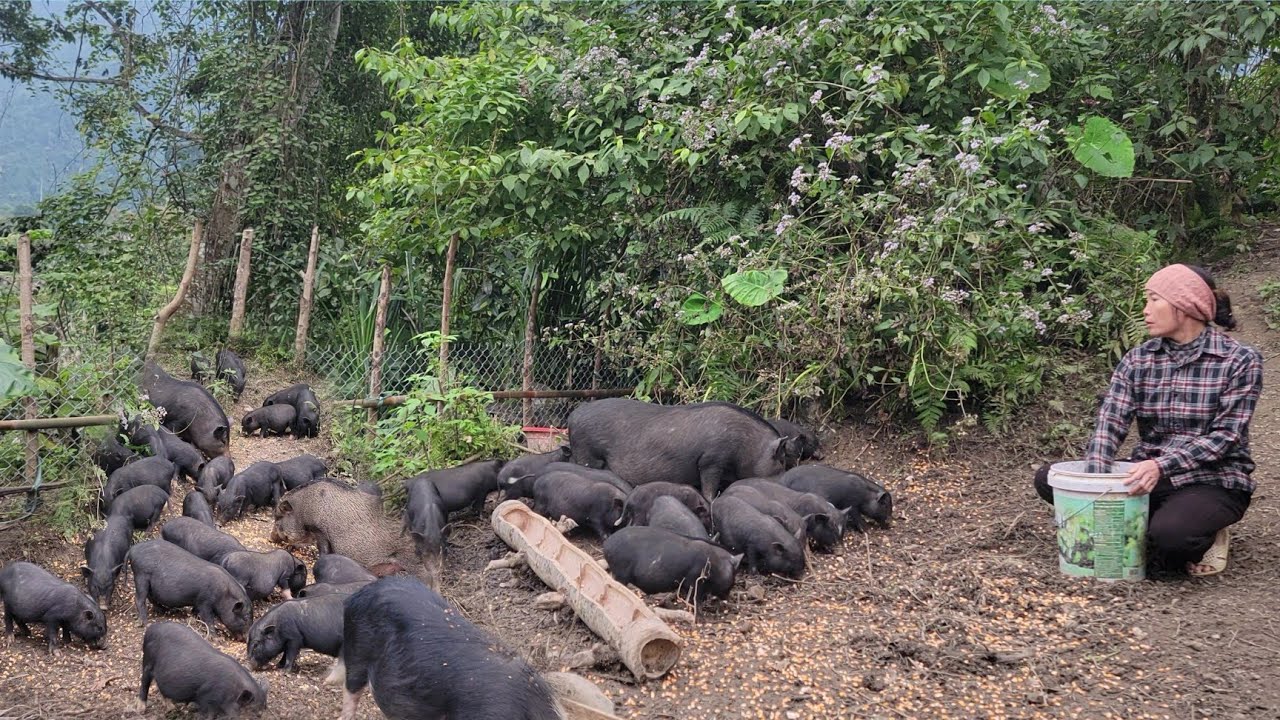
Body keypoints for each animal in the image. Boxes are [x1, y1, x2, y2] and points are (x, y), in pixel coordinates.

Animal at [134, 622, 266, 718]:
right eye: (252, 712)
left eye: (262, 712)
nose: (260, 714)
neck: (231, 691)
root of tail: (151, 629)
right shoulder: (205, 697)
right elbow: (208, 715)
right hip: (148, 661)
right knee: (144, 682)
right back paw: (141, 710)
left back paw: (171, 708)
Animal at [568, 398, 790, 500]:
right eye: (781, 461)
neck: (747, 446)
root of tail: (573, 415)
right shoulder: (711, 460)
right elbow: (708, 488)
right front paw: (712, 499)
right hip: (587, 452)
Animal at [603, 526, 740, 602]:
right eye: (734, 574)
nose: (729, 597)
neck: (716, 564)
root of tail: (607, 545)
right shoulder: (694, 580)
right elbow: (695, 599)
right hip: (621, 572)